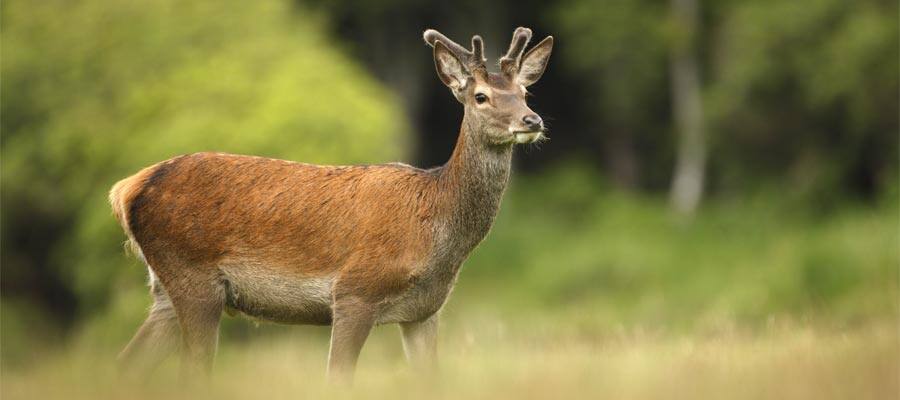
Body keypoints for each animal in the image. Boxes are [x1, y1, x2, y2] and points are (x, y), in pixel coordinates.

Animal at [109, 26, 552, 382]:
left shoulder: (424, 312)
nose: (532, 120)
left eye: (525, 92)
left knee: (127, 363)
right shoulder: (355, 291)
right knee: (192, 371)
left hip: (165, 289)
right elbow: (338, 377)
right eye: (481, 96)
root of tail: (127, 189)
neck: (435, 232)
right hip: (193, 276)